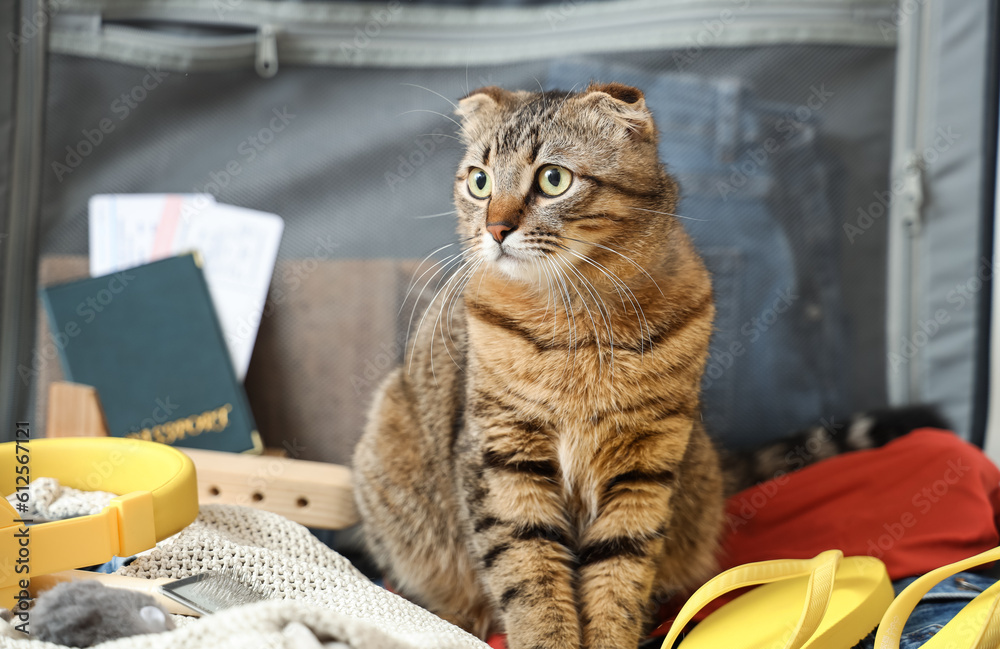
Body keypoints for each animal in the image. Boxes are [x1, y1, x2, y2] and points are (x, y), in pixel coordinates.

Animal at [352, 83, 936, 644]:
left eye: (553, 179)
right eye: (479, 182)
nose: (495, 228)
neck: (578, 321)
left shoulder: (645, 463)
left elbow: (619, 577)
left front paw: (613, 634)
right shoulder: (504, 457)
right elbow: (530, 576)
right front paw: (547, 636)